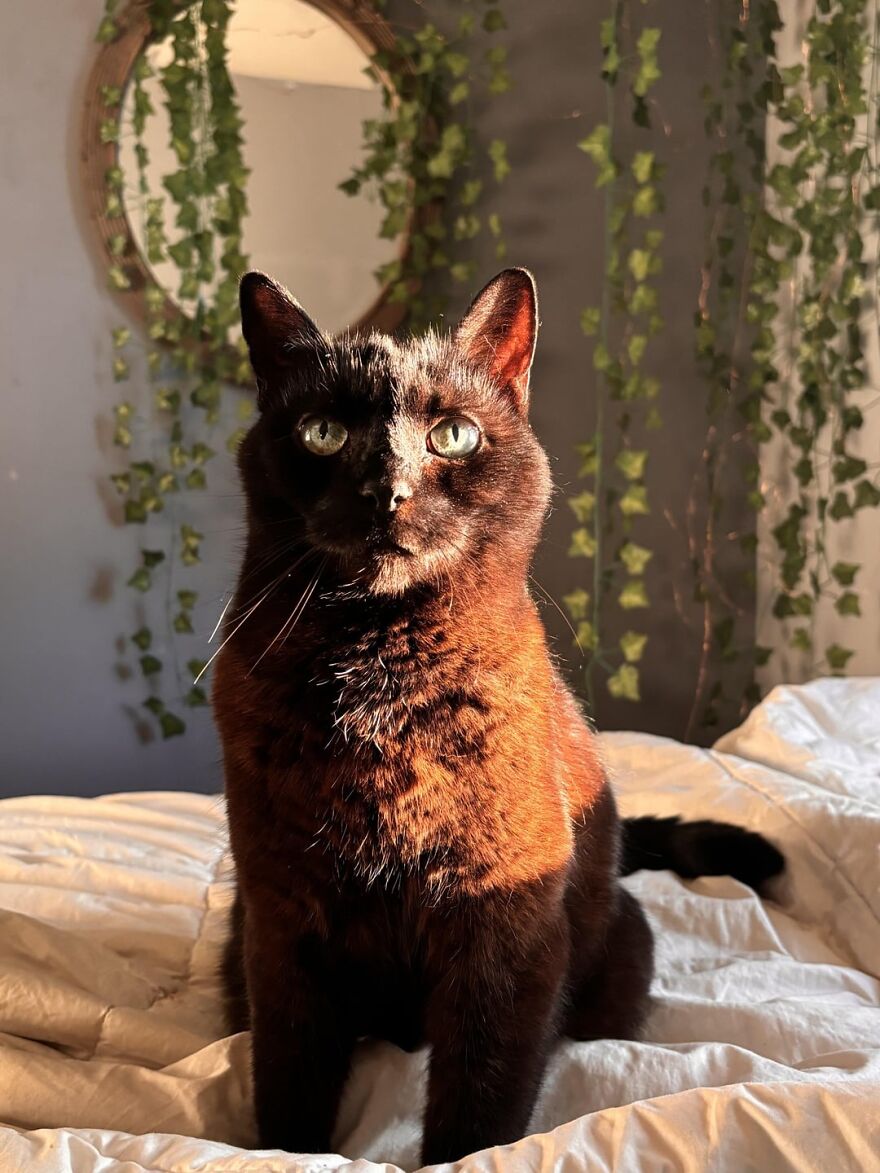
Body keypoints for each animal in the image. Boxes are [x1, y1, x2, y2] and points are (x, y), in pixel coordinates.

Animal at [215, 268, 783, 1163]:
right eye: (322, 432)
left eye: (452, 435)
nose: (386, 492)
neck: (382, 686)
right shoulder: (281, 920)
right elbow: (289, 1074)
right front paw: (292, 1154)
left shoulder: (505, 923)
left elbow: (483, 1090)